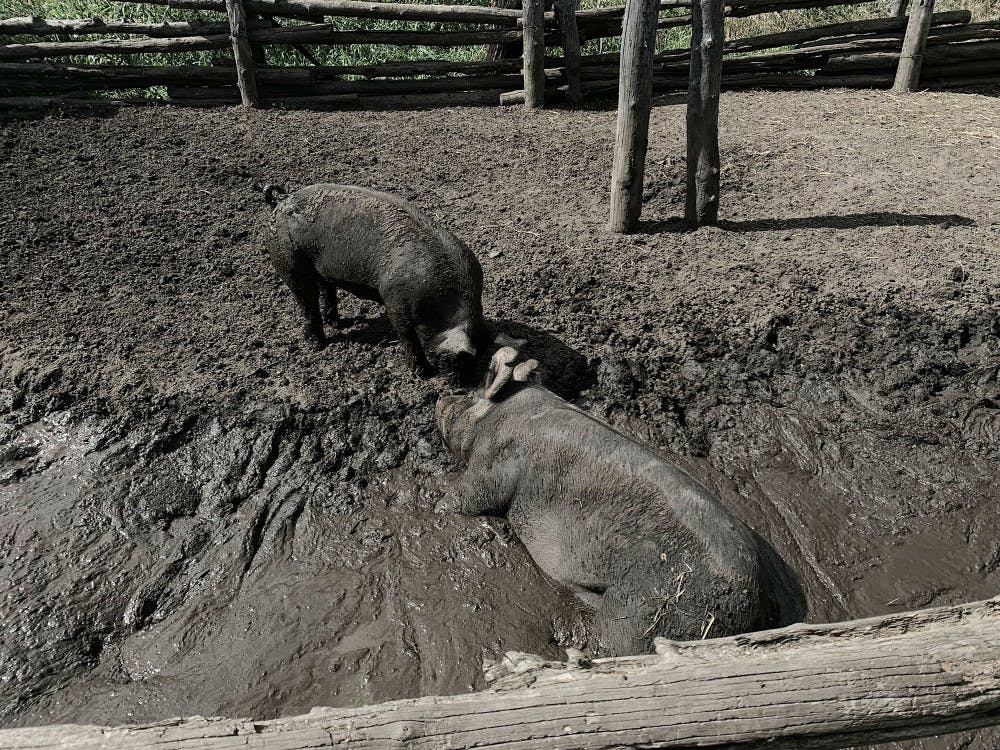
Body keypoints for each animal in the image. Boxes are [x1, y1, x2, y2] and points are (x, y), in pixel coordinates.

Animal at [265, 183, 488, 376]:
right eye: (457, 359)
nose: (461, 385)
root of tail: (281, 200)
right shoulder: (394, 302)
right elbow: (408, 338)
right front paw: (421, 373)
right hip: (289, 262)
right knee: (307, 301)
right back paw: (318, 345)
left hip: (322, 270)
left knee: (327, 290)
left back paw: (337, 323)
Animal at [435, 348, 794, 656]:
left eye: (468, 395)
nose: (441, 397)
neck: (503, 413)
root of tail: (751, 601)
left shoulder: (496, 461)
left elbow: (472, 497)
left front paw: (441, 505)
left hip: (644, 612)